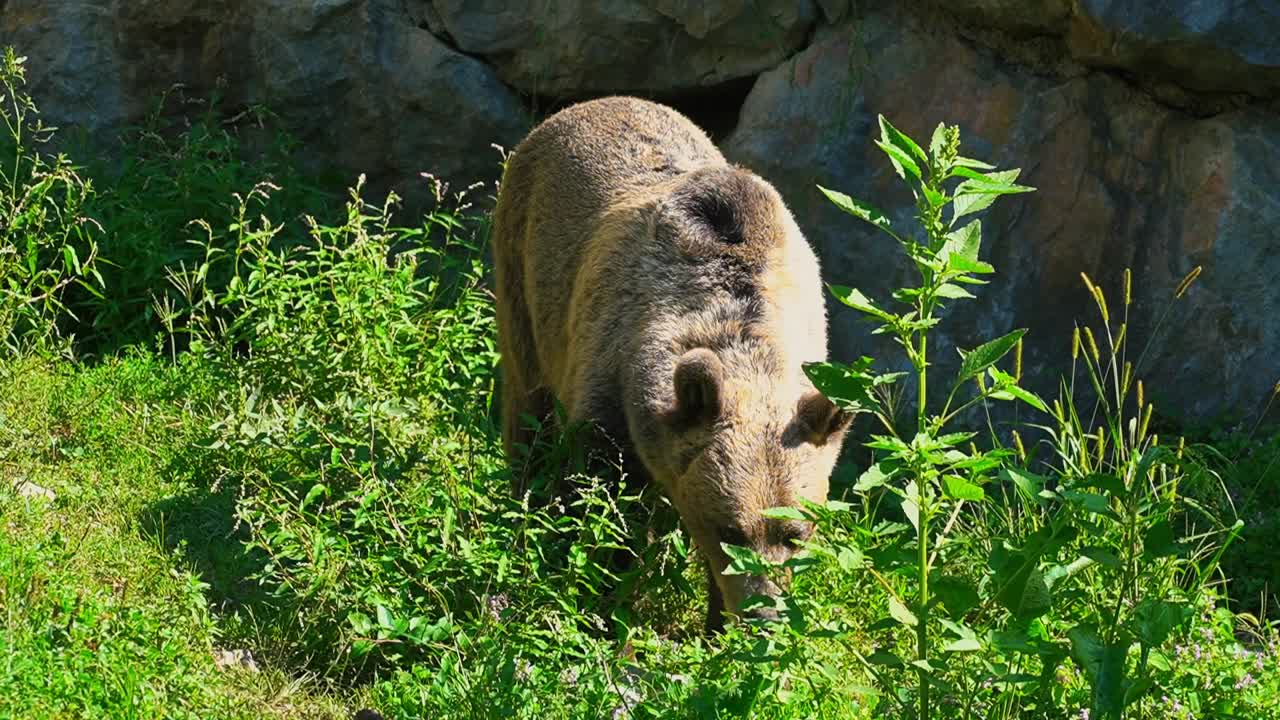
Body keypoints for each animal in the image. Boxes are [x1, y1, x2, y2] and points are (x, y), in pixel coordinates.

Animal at [489, 96, 852, 633]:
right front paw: (601, 608)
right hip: (525, 267)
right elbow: (602, 514)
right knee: (526, 404)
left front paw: (717, 627)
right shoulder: (611, 388)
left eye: (795, 533)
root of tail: (592, 103)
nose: (764, 616)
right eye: (729, 529)